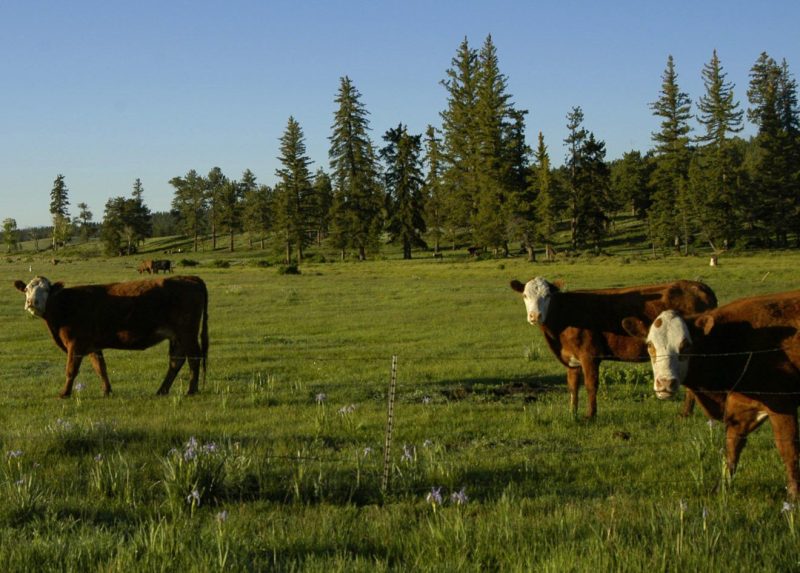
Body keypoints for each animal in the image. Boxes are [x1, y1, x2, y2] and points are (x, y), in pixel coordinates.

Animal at [13, 275, 209, 398]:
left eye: (46, 290)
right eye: (27, 289)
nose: (31, 302)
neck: (64, 306)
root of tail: (190, 278)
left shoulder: (75, 344)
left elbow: (71, 370)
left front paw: (64, 393)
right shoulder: (92, 345)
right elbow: (101, 368)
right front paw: (107, 391)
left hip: (187, 333)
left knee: (193, 359)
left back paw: (191, 390)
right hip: (177, 337)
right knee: (176, 361)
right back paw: (162, 390)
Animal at [510, 277, 718, 418]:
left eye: (547, 296)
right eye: (525, 295)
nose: (535, 316)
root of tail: (699, 286)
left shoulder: (590, 355)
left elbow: (591, 385)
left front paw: (590, 416)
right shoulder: (572, 359)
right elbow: (572, 386)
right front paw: (572, 413)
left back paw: (686, 413)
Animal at [622, 291, 800, 497]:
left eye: (685, 345)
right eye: (650, 345)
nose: (665, 383)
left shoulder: (782, 403)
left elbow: (789, 450)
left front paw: (793, 496)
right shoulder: (740, 407)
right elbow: (731, 449)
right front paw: (720, 488)